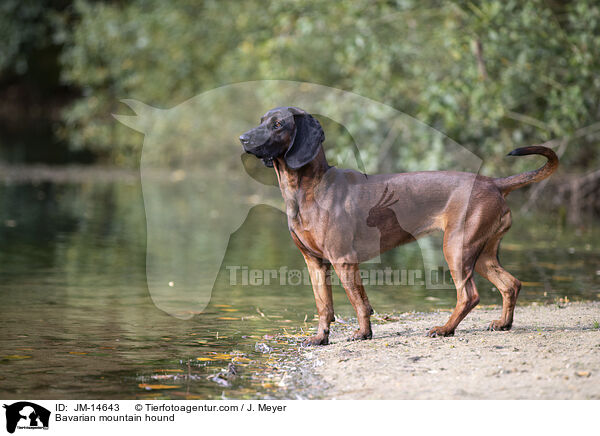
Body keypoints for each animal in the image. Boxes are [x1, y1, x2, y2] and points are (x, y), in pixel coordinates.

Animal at [239, 106, 556, 344]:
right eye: (261, 121)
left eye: (278, 124)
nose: (242, 138)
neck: (309, 189)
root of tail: (494, 183)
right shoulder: (315, 263)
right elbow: (323, 306)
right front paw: (320, 338)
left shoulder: (343, 260)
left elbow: (359, 302)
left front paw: (363, 333)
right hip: (481, 253)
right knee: (510, 284)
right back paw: (503, 323)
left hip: (456, 248)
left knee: (469, 295)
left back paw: (445, 329)